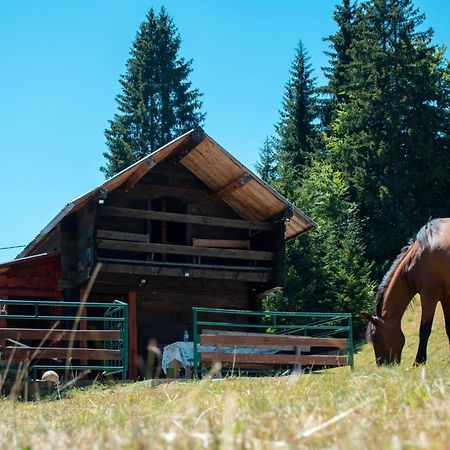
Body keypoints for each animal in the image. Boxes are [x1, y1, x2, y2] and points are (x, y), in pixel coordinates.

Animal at [364, 218, 450, 366]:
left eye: (376, 337)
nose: (382, 366)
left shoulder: (429, 296)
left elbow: (424, 330)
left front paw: (419, 361)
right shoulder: (445, 298)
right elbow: (449, 328)